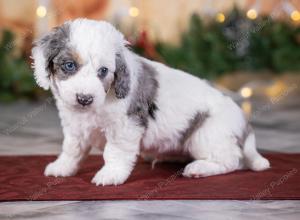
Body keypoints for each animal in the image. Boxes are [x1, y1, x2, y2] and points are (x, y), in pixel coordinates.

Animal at [31, 18, 270, 186]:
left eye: (103, 71)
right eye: (69, 65)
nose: (84, 99)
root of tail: (246, 126)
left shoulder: (125, 127)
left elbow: (114, 152)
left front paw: (110, 174)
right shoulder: (75, 127)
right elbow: (72, 149)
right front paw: (61, 167)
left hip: (207, 135)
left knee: (232, 161)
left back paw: (199, 168)